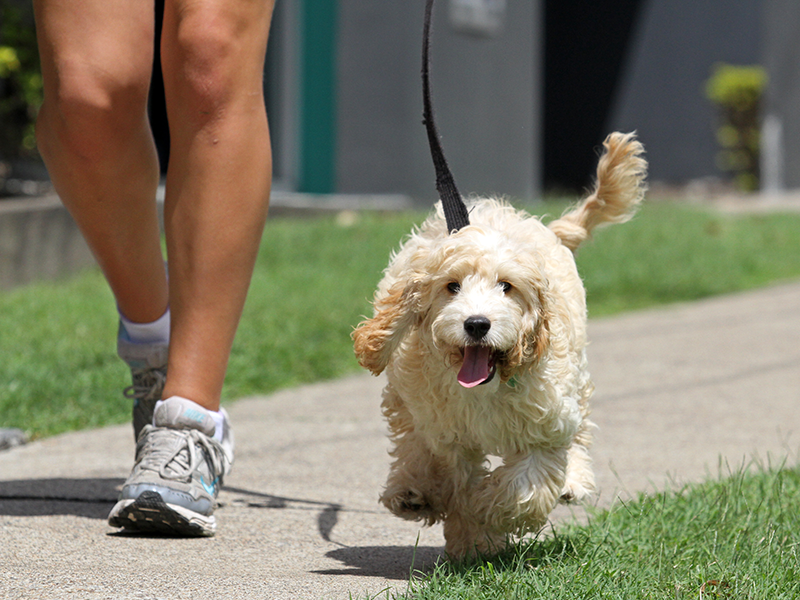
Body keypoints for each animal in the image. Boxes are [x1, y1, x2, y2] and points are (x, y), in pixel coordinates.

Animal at [354, 134, 648, 560]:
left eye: (506, 287)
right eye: (452, 286)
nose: (477, 324)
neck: (486, 388)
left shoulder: (545, 427)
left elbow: (523, 488)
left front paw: (483, 515)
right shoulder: (447, 434)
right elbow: (453, 474)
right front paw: (470, 535)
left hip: (575, 373)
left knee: (579, 431)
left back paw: (573, 480)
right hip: (407, 398)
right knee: (409, 438)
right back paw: (410, 491)